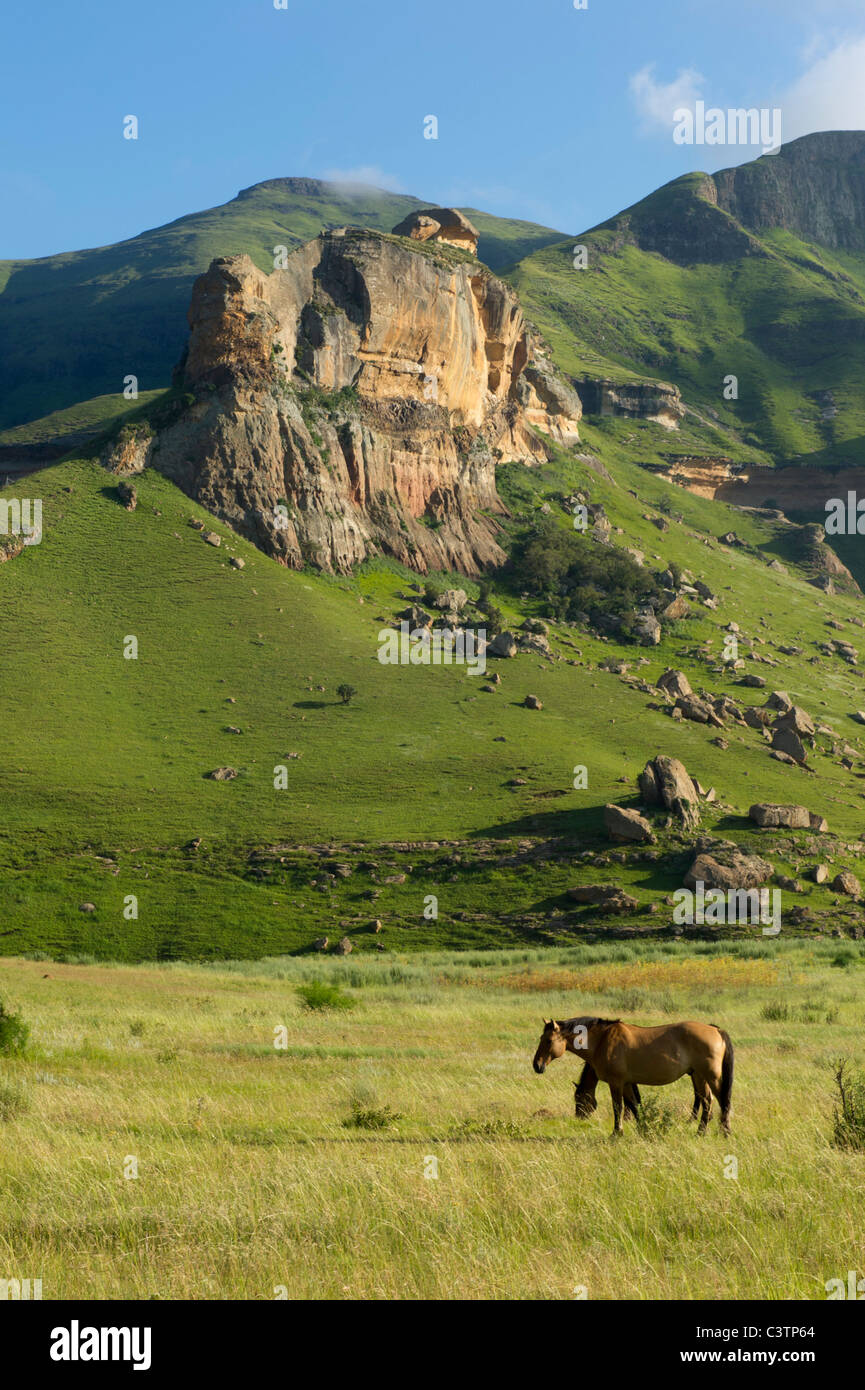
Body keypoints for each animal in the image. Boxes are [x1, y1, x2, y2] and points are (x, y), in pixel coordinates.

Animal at [531, 1017, 734, 1134]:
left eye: (548, 1040)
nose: (537, 1065)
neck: (602, 1040)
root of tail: (716, 1030)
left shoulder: (616, 1082)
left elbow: (618, 1107)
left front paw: (616, 1133)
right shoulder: (627, 1083)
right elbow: (635, 1106)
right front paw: (643, 1129)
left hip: (711, 1077)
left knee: (722, 1100)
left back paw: (725, 1131)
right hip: (699, 1076)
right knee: (707, 1101)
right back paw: (701, 1132)